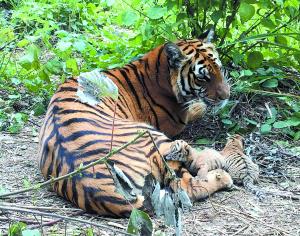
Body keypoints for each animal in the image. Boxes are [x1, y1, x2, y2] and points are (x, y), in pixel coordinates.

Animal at [39, 28, 232, 217]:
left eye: (220, 69)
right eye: (202, 78)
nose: (226, 96)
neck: (158, 69)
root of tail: (100, 190)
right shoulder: (176, 121)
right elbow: (198, 108)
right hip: (150, 136)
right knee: (188, 185)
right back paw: (221, 174)